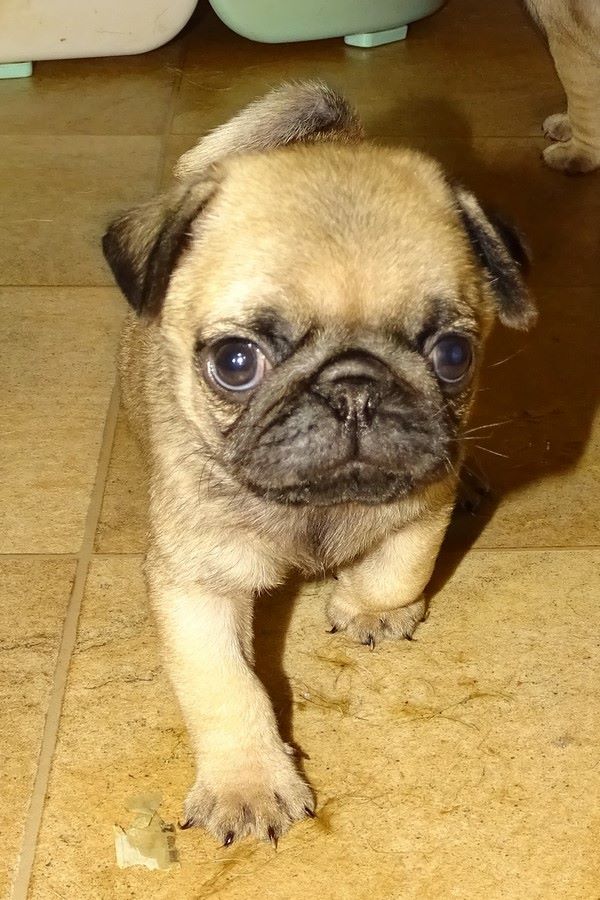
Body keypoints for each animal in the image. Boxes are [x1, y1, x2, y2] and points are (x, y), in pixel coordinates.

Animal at [102, 82, 536, 846]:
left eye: (454, 355)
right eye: (235, 363)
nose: (354, 390)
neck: (319, 505)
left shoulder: (423, 496)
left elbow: (402, 566)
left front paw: (371, 609)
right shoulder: (199, 583)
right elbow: (227, 687)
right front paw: (248, 785)